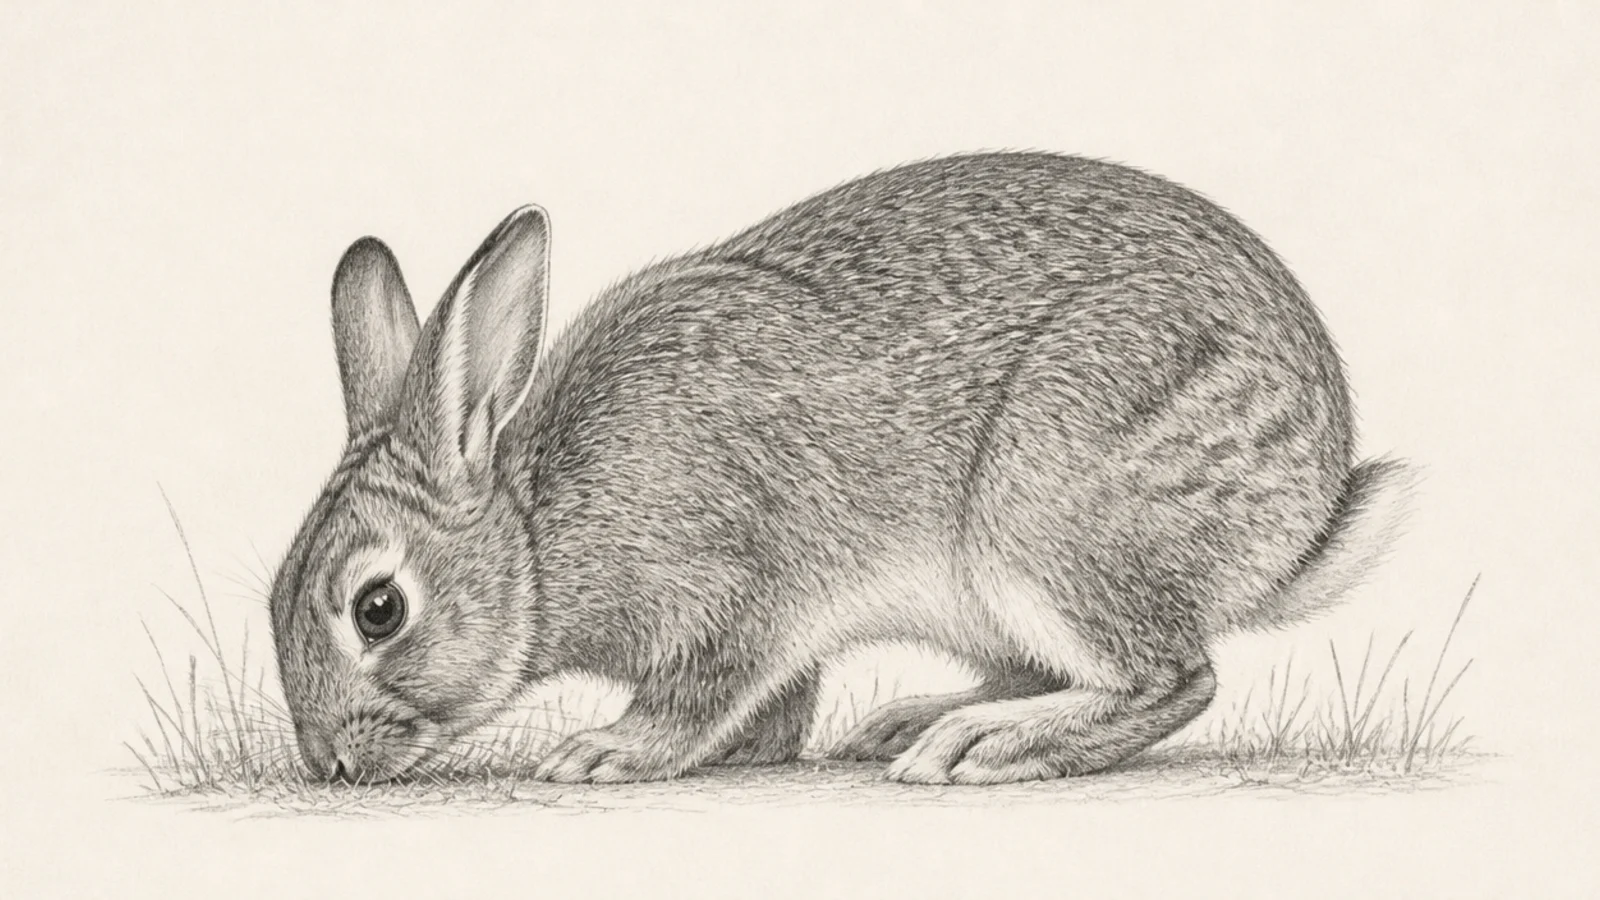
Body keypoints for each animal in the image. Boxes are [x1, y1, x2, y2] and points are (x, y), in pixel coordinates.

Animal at [268, 151, 1416, 786]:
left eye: (377, 608)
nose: (329, 766)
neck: (539, 540)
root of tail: (1306, 510)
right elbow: (776, 709)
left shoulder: (735, 592)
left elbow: (701, 695)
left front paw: (606, 752)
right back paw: (911, 720)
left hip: (1046, 512)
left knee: (1172, 678)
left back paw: (977, 749)